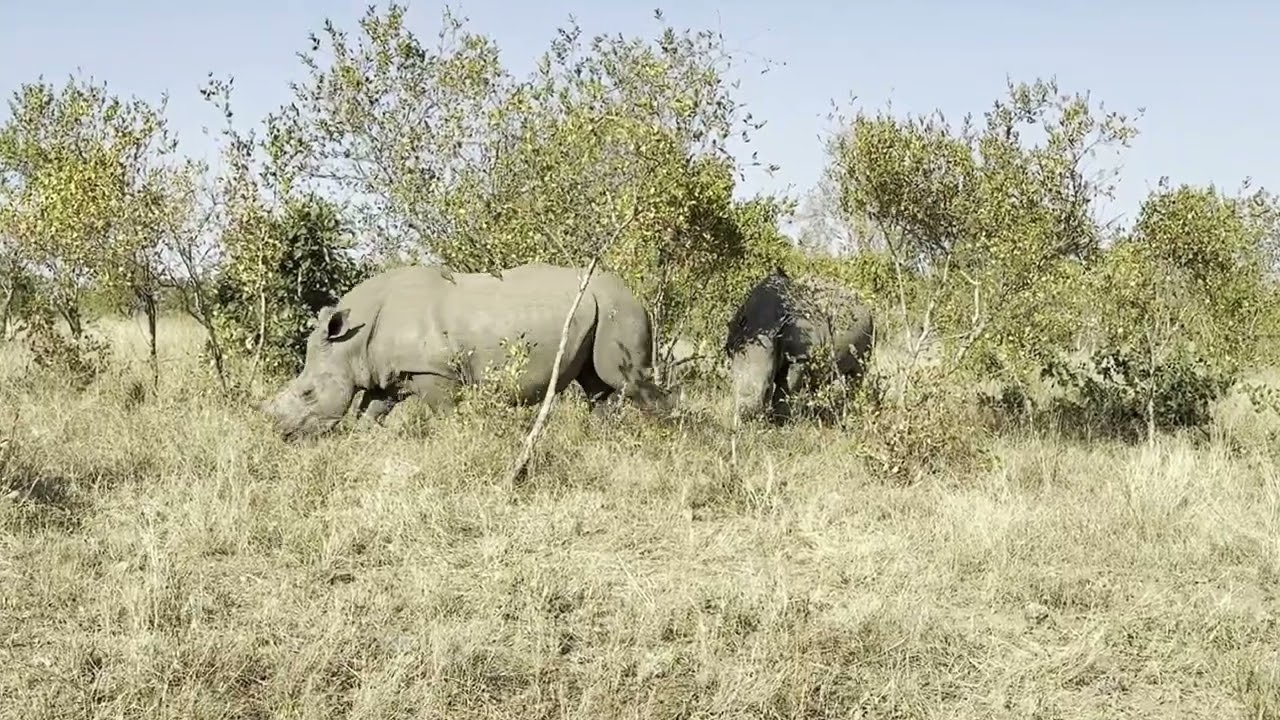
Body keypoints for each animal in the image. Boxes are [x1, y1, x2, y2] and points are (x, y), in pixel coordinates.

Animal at [261, 262, 674, 441]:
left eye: (307, 393)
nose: (281, 434)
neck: (350, 343)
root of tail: (636, 295)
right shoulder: (387, 373)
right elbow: (369, 412)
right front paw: (363, 445)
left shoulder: (434, 373)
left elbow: (446, 416)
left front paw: (454, 445)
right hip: (601, 311)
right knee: (598, 387)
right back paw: (605, 441)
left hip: (620, 310)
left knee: (625, 380)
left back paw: (668, 439)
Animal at [723, 266, 875, 423]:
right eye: (732, 384)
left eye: (767, 390)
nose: (747, 415)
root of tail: (863, 302)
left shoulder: (799, 357)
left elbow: (785, 388)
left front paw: (780, 421)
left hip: (869, 325)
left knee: (858, 370)